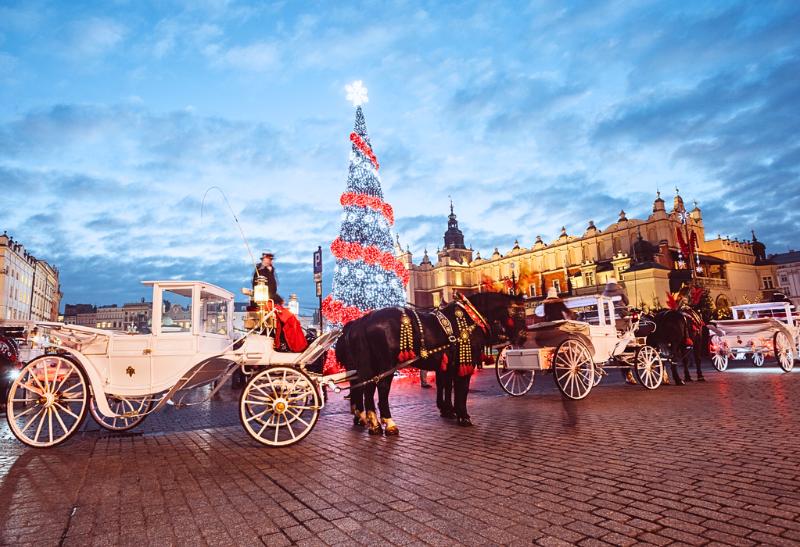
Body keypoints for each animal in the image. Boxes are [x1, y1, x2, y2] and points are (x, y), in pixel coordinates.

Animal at [336, 296, 528, 436]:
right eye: (519, 314)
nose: (523, 337)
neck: (470, 318)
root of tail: (364, 319)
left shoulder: (448, 365)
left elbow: (447, 386)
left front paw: (449, 410)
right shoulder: (464, 363)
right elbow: (462, 388)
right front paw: (463, 416)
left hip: (370, 365)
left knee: (366, 389)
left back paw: (373, 424)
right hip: (386, 365)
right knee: (380, 389)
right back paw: (388, 423)